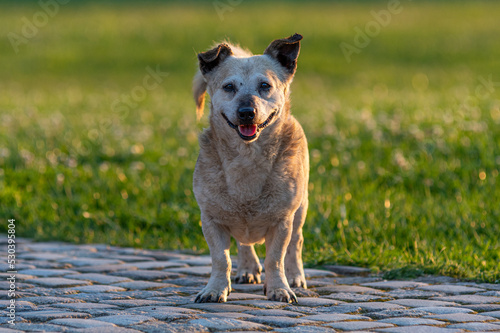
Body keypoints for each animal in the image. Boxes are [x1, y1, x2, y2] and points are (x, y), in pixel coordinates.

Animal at [192, 34, 306, 304]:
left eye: (265, 85)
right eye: (228, 87)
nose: (246, 112)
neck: (247, 158)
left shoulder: (282, 220)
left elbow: (275, 259)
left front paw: (279, 289)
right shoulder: (211, 219)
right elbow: (220, 259)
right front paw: (214, 289)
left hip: (301, 208)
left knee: (296, 243)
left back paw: (296, 277)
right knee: (244, 244)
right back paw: (247, 269)